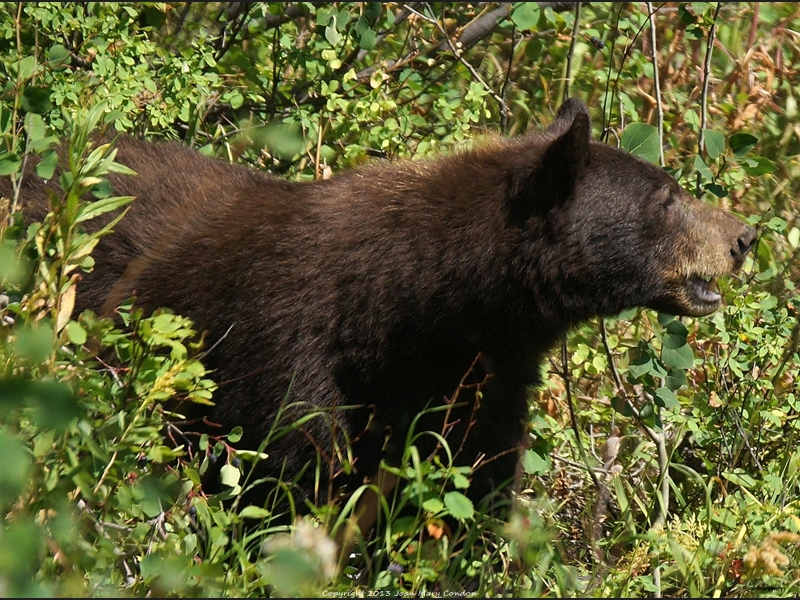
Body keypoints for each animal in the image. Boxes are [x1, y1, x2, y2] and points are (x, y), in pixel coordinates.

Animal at [4, 97, 756, 520]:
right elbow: (295, 475)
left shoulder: (481, 377)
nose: (745, 237)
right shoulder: (286, 346)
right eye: (668, 197)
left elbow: (478, 476)